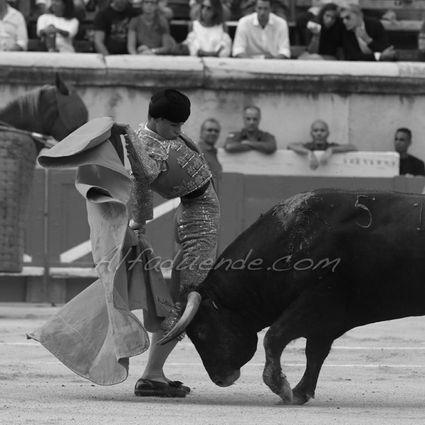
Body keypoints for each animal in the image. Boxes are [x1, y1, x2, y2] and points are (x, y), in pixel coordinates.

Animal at [158, 190, 424, 404]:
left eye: (202, 331)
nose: (220, 378)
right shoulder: (327, 323)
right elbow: (314, 353)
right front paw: (300, 393)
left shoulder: (319, 304)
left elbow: (274, 337)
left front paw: (282, 388)